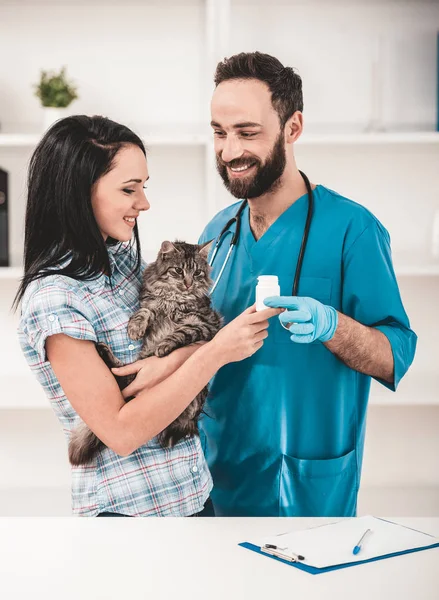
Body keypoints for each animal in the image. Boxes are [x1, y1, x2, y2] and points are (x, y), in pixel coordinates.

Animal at [69, 241, 223, 466]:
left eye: (197, 273)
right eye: (178, 271)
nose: (188, 284)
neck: (174, 300)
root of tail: (189, 422)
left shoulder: (204, 324)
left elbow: (181, 333)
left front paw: (164, 346)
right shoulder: (151, 304)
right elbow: (144, 312)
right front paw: (135, 329)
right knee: (122, 376)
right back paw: (103, 350)